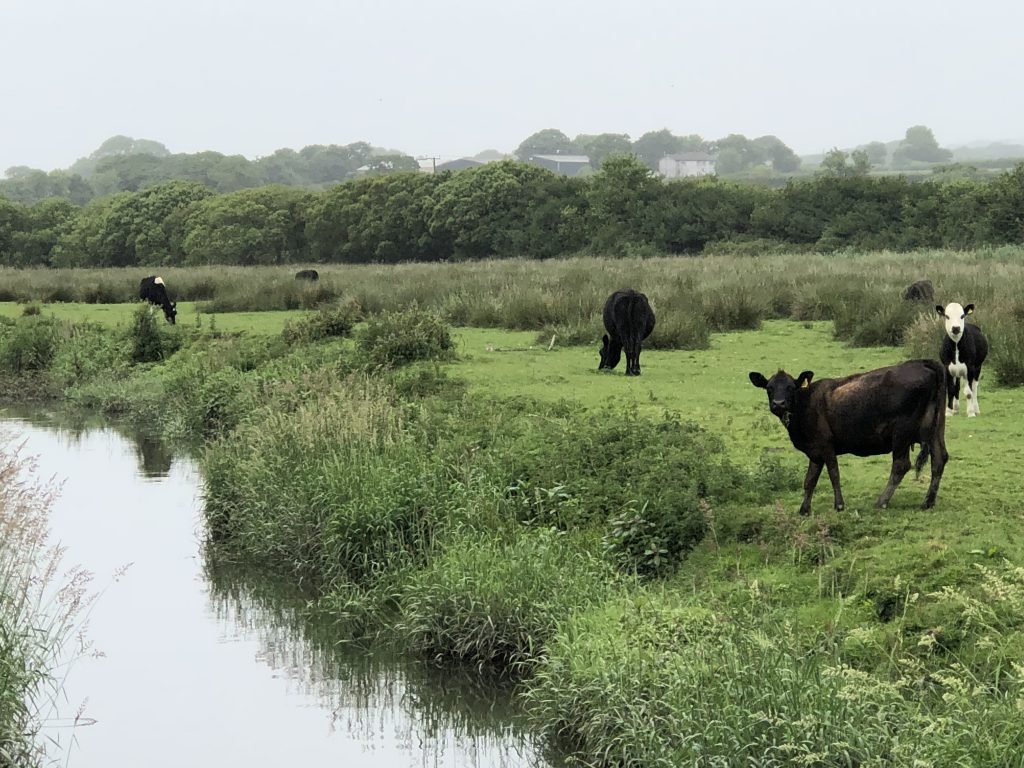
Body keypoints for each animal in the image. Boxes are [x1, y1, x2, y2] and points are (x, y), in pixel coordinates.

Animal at [749, 360, 946, 518]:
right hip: (936, 429)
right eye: (769, 388)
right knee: (939, 459)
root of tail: (921, 363)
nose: (779, 403)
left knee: (901, 465)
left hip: (901, 433)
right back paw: (928, 502)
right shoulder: (815, 451)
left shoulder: (826, 445)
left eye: (791, 387)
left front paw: (839, 505)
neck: (806, 403)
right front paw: (804, 509)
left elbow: (834, 474)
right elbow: (809, 480)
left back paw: (881, 501)